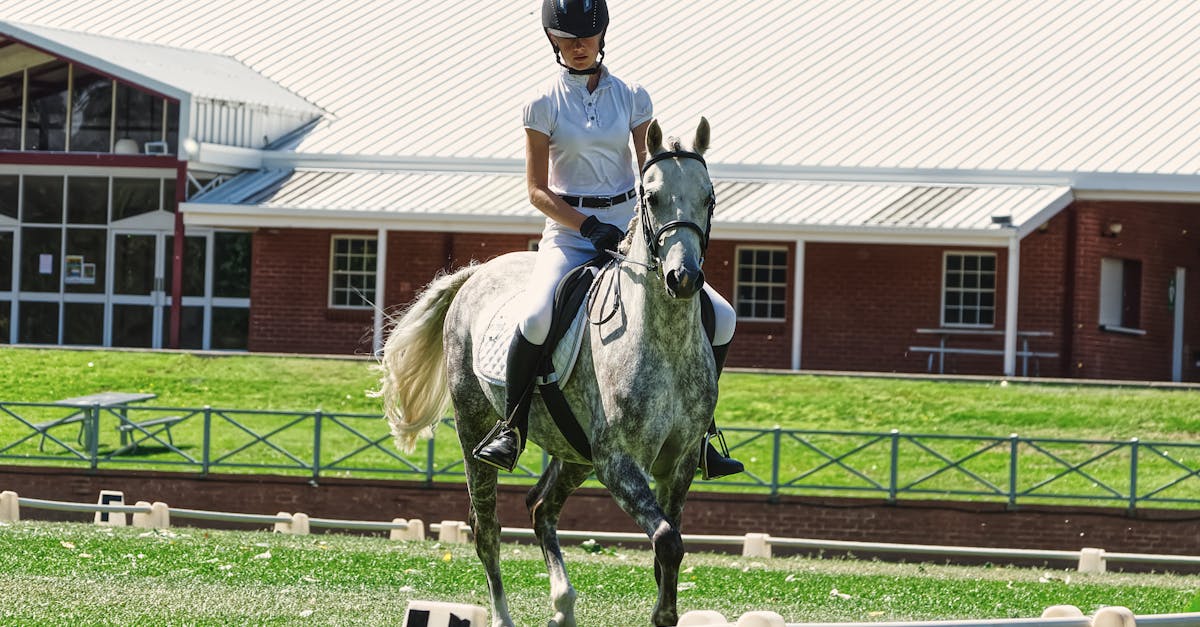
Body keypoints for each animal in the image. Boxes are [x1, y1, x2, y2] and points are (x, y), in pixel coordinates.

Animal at [376, 118, 720, 627]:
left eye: (709, 197)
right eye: (653, 197)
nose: (684, 279)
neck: (664, 339)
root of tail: (478, 273)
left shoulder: (679, 463)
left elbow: (669, 547)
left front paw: (665, 611)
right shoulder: (617, 462)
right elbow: (666, 541)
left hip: (574, 451)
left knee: (540, 507)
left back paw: (563, 605)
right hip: (475, 425)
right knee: (487, 528)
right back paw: (503, 615)